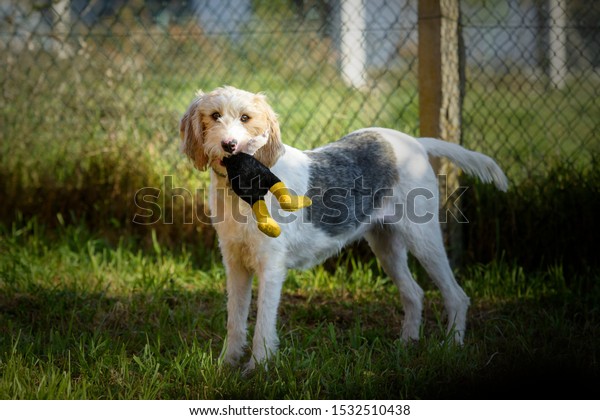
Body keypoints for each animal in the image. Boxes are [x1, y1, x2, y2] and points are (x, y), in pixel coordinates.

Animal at [180, 86, 508, 370]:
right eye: (215, 115)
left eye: (246, 118)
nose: (229, 146)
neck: (237, 194)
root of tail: (416, 143)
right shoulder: (235, 263)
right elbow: (235, 320)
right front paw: (226, 364)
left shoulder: (270, 267)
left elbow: (263, 323)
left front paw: (257, 368)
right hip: (386, 245)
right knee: (414, 293)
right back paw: (406, 344)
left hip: (424, 238)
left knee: (456, 296)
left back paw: (451, 346)